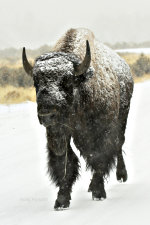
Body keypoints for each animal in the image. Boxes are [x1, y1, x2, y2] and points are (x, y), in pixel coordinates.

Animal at [22, 27, 134, 209]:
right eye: (36, 82)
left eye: (67, 80)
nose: (47, 114)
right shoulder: (59, 135)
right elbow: (66, 164)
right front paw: (61, 200)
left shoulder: (103, 131)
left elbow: (99, 156)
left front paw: (98, 192)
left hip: (123, 117)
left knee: (119, 144)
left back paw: (121, 175)